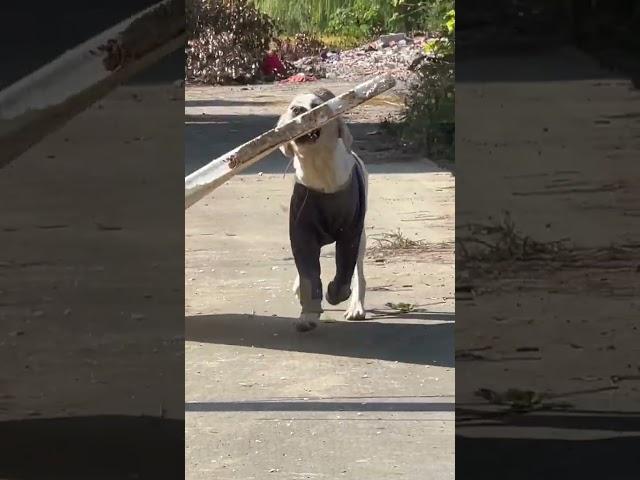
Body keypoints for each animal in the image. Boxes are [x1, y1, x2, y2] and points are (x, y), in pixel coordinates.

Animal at [276, 88, 370, 332]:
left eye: (316, 105)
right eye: (292, 105)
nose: (297, 110)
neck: (319, 167)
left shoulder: (350, 233)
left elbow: (345, 272)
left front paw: (335, 294)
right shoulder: (302, 231)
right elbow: (308, 273)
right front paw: (307, 315)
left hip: (362, 237)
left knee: (358, 273)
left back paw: (356, 307)